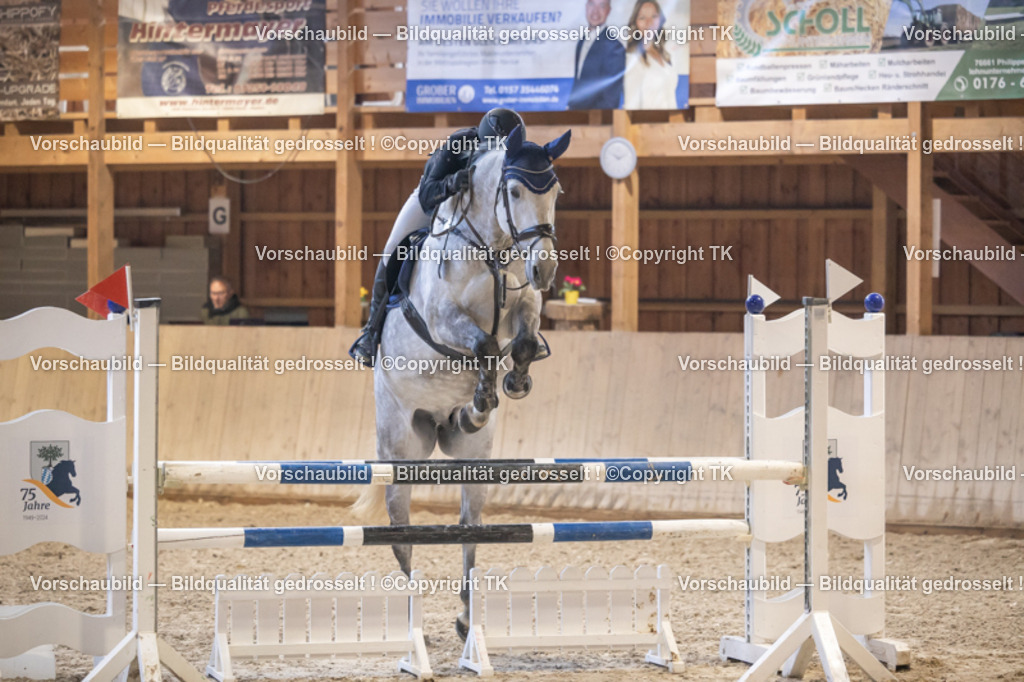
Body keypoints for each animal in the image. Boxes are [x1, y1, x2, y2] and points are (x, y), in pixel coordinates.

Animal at [353, 125, 571, 638]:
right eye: (515, 192)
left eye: (555, 193)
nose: (545, 270)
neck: (490, 247)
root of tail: (434, 427)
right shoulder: (443, 320)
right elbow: (484, 344)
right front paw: (485, 394)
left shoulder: (523, 304)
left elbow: (522, 343)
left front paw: (507, 387)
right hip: (400, 450)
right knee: (401, 534)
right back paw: (412, 620)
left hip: (474, 463)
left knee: (471, 526)